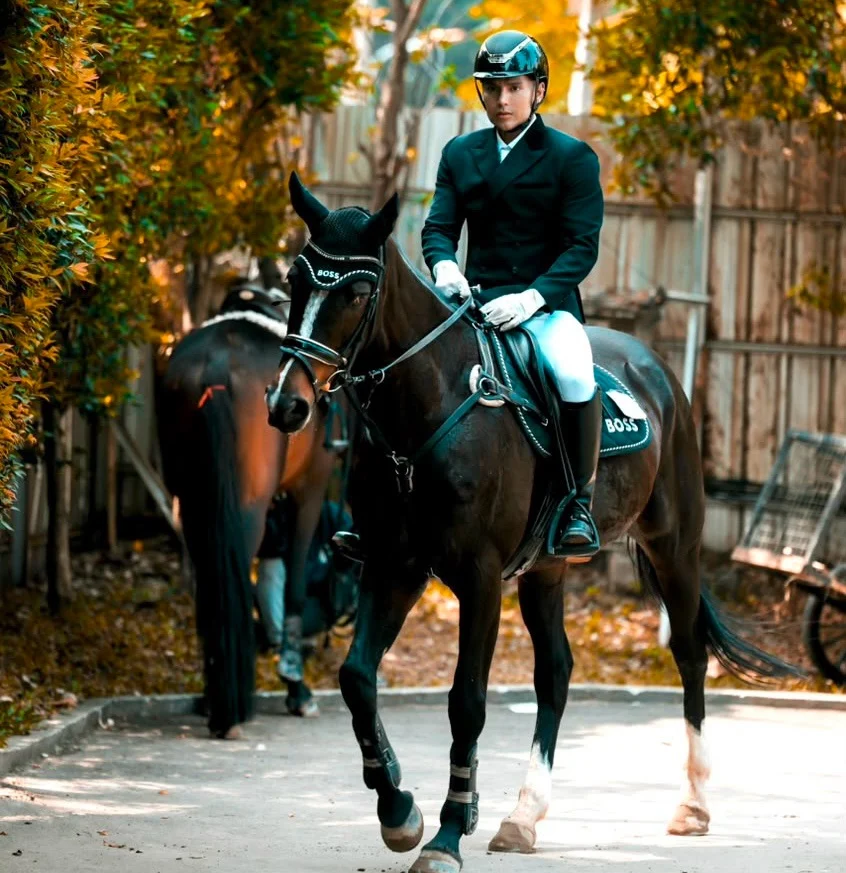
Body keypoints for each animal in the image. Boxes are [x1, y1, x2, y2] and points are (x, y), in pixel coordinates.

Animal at [158, 283, 348, 737]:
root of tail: (213, 371)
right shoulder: (308, 489)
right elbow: (293, 582)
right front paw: (296, 687)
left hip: (192, 501)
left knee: (211, 583)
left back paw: (216, 696)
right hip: (245, 507)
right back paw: (232, 706)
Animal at [265, 173, 800, 873]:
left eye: (355, 293)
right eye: (295, 281)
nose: (287, 405)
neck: (428, 406)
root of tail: (654, 367)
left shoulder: (478, 577)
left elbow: (467, 701)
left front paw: (444, 834)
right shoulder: (393, 564)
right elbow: (357, 678)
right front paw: (399, 810)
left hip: (674, 548)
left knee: (688, 654)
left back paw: (693, 806)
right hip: (546, 569)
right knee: (556, 673)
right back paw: (523, 816)